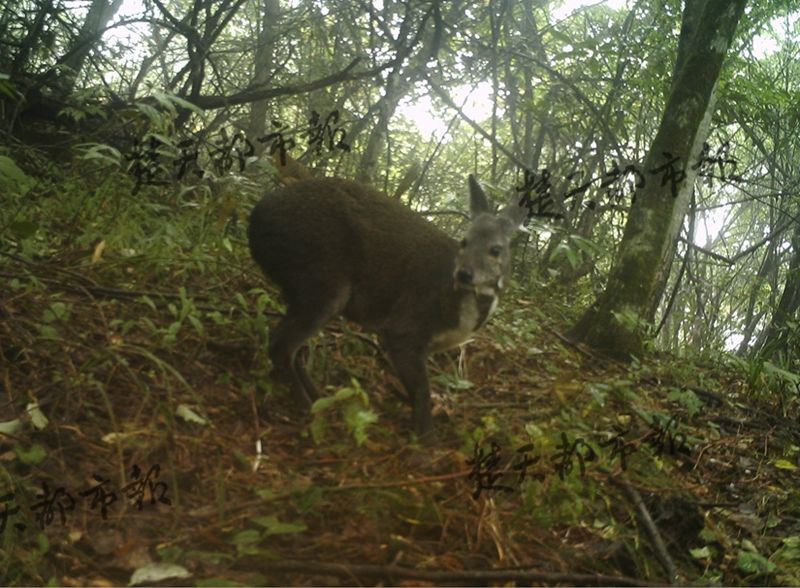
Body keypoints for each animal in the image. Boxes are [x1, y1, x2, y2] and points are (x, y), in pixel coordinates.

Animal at [247, 175, 528, 436]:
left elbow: (415, 391)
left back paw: (319, 397)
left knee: (294, 349)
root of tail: (255, 218)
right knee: (280, 346)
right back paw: (306, 407)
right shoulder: (405, 326)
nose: (464, 274)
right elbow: (422, 391)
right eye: (464, 242)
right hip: (322, 278)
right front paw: (427, 441)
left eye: (496, 249)